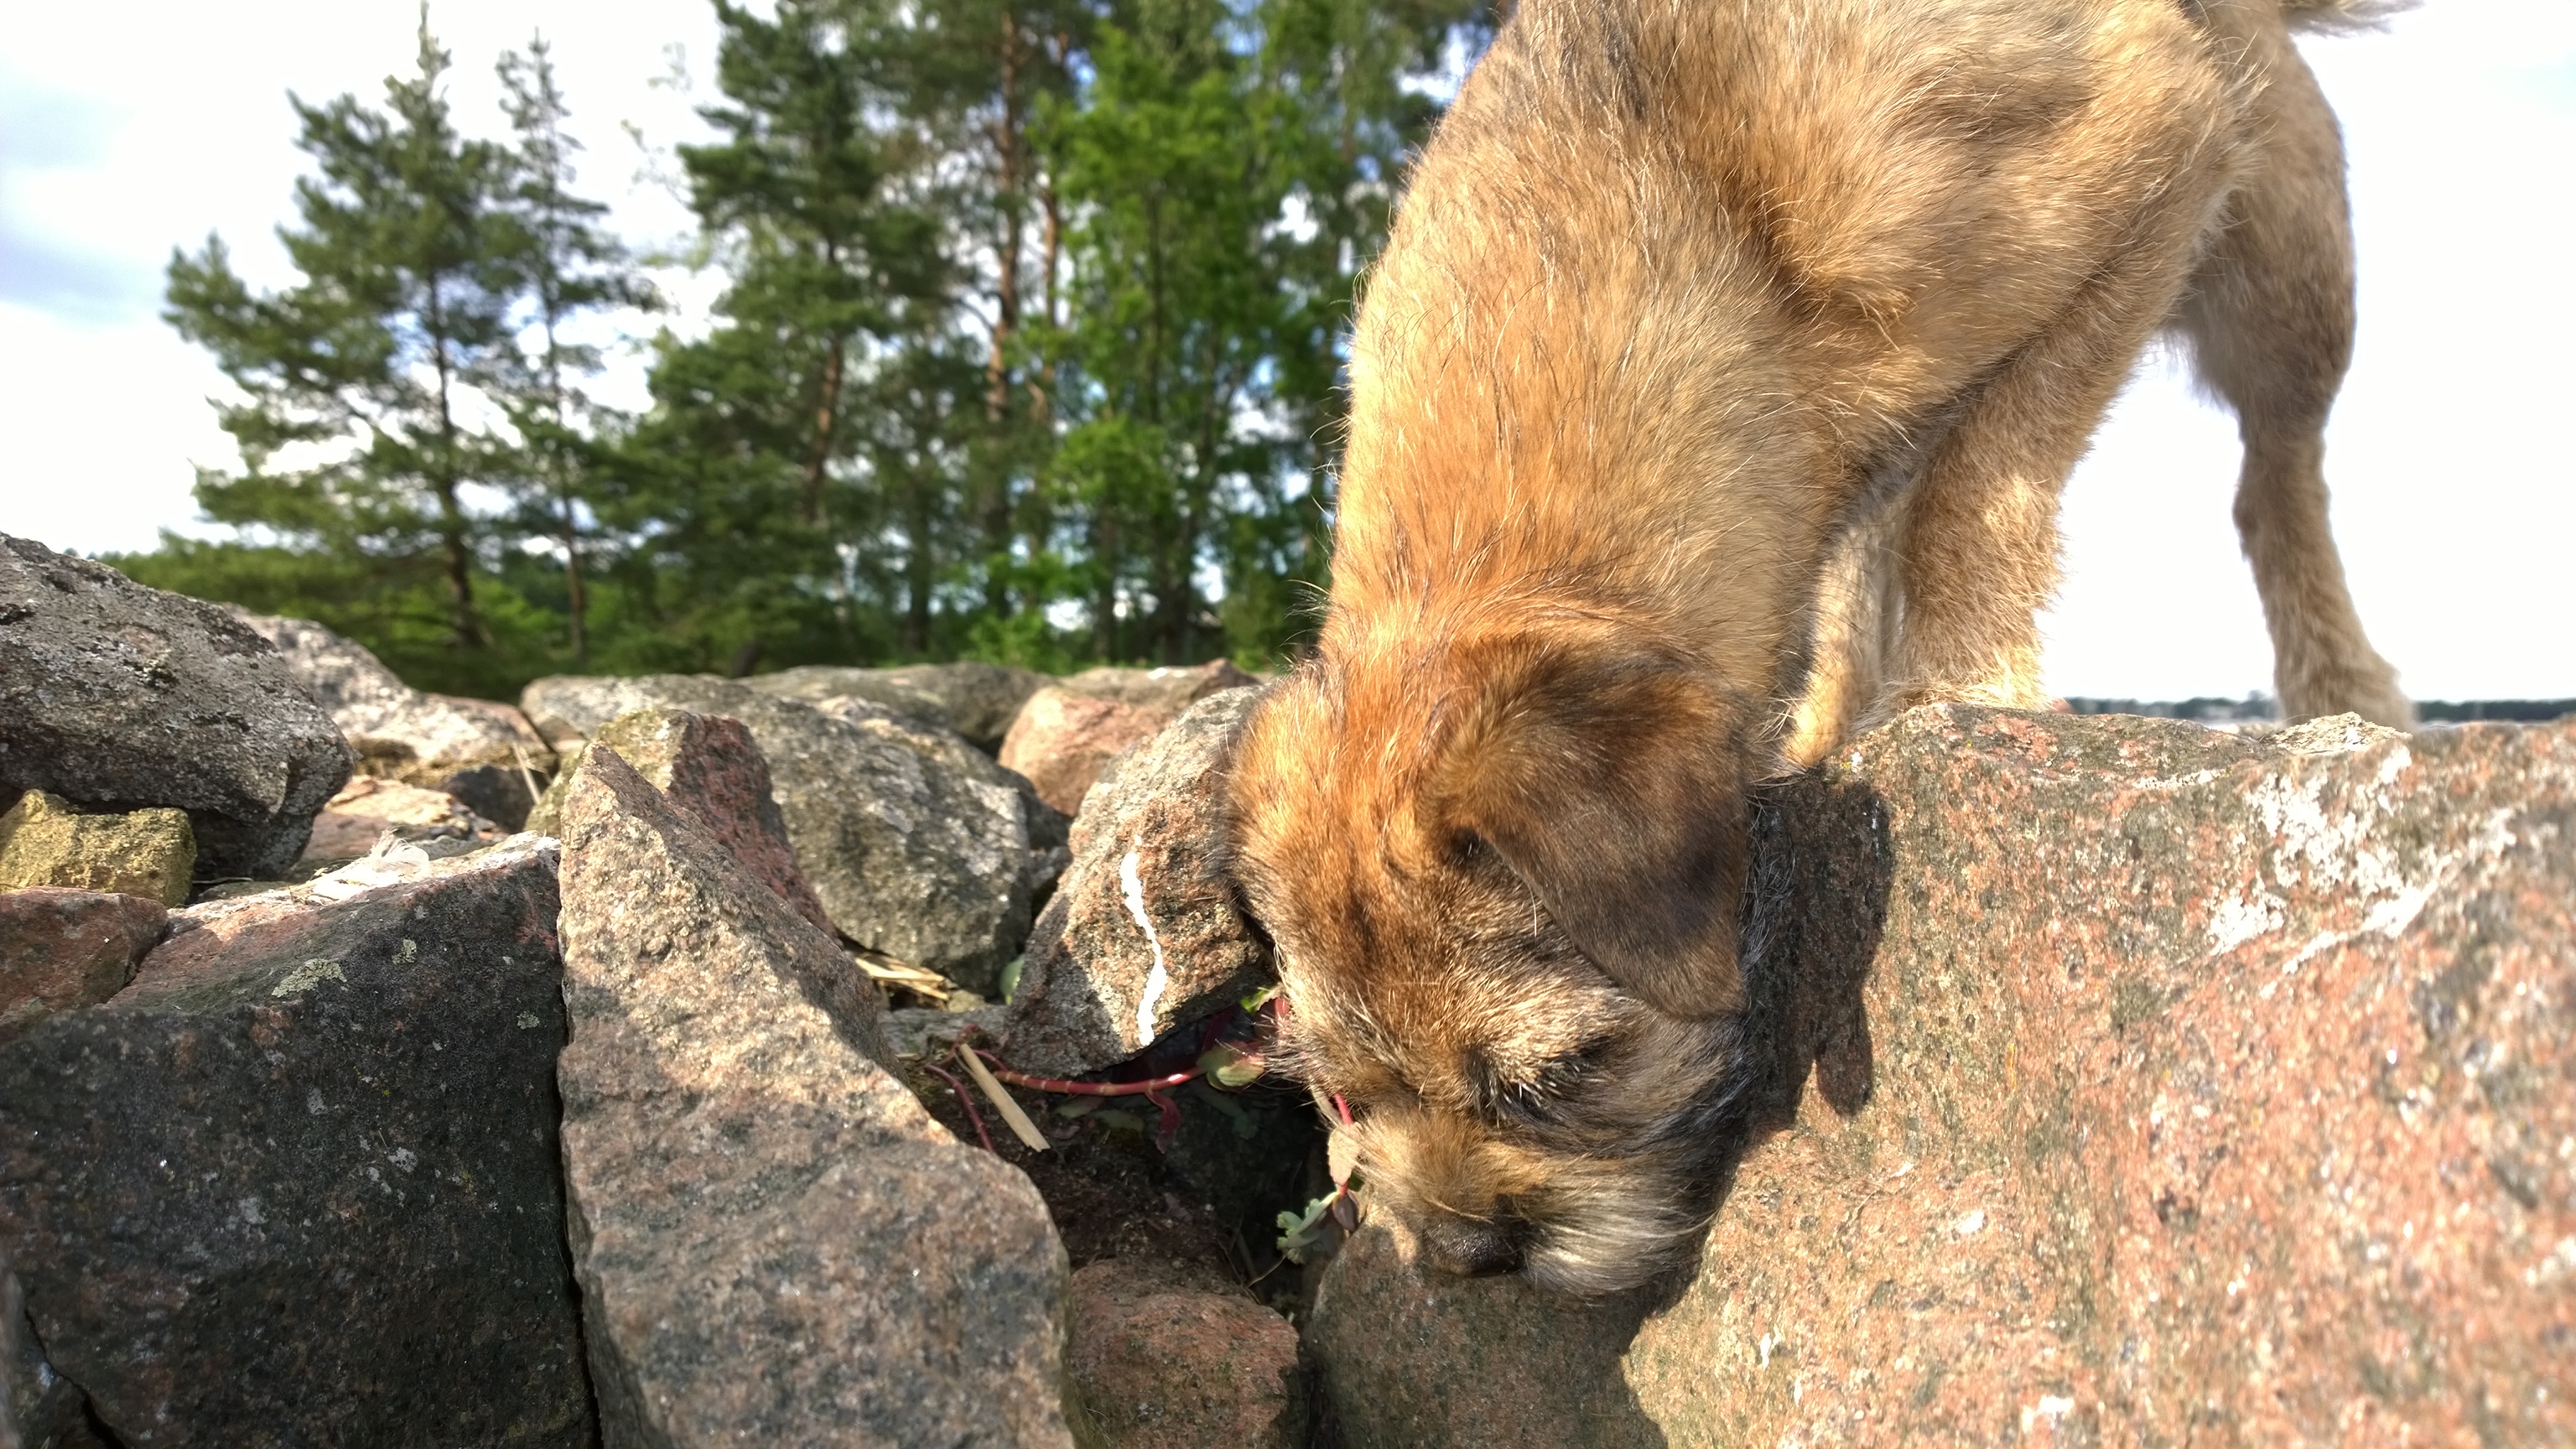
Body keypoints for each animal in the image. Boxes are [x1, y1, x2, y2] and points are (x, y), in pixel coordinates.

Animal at [1226, 0, 2411, 1284]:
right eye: (1345, 1094)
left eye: (1562, 1076)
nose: (1458, 1254)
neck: (1689, 202)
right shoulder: (1846, 457)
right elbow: (1858, 575)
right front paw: (1839, 733)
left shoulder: (2155, 145)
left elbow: (1984, 480)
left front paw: (1972, 684)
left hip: (2284, 270)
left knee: (2275, 478)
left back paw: (2342, 680)